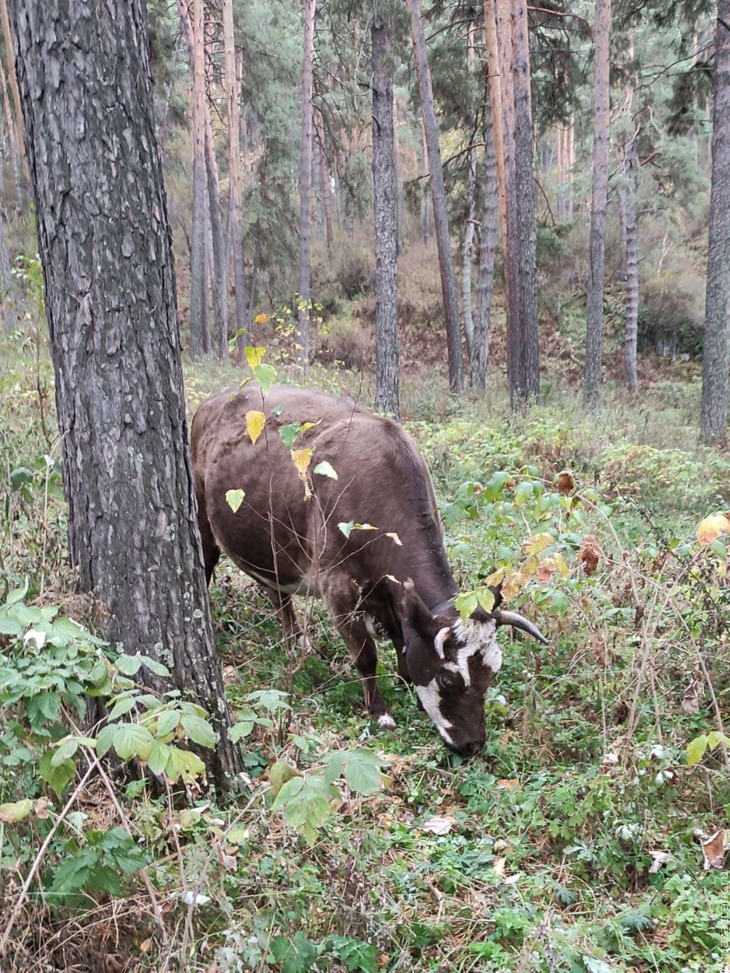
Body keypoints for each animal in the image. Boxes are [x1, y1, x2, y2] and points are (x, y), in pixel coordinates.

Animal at [191, 384, 544, 756]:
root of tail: (215, 401)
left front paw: (407, 684)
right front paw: (381, 712)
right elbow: (365, 655)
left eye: (492, 673)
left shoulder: (392, 595)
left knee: (278, 594)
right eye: (449, 678)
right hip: (202, 518)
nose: (474, 744)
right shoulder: (338, 588)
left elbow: (403, 641)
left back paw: (295, 642)